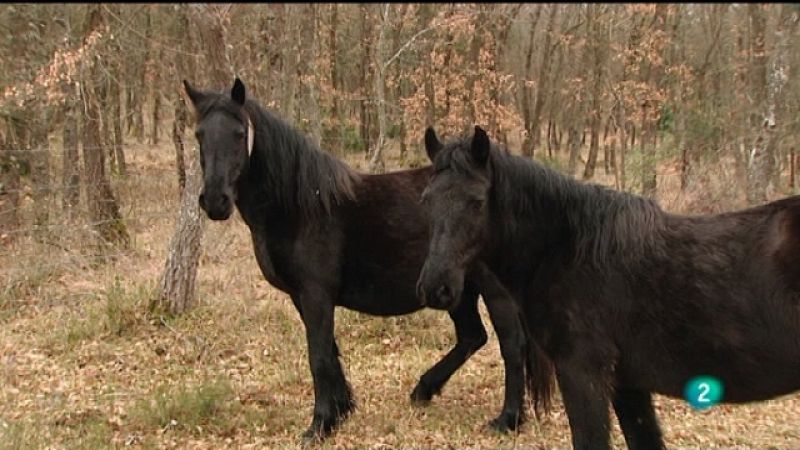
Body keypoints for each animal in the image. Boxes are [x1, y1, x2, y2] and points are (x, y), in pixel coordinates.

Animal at [184, 78, 552, 442]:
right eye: (199, 134)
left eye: (238, 134)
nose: (215, 200)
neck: (301, 206)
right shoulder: (303, 297)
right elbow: (329, 350)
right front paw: (341, 410)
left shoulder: (316, 294)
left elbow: (318, 355)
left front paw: (319, 425)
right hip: (454, 288)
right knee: (473, 336)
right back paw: (424, 390)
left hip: (492, 290)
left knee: (511, 345)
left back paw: (508, 419)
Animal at [416, 125, 800, 450]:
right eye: (426, 199)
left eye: (477, 201)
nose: (436, 287)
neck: (569, 250)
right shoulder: (629, 386)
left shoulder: (583, 376)